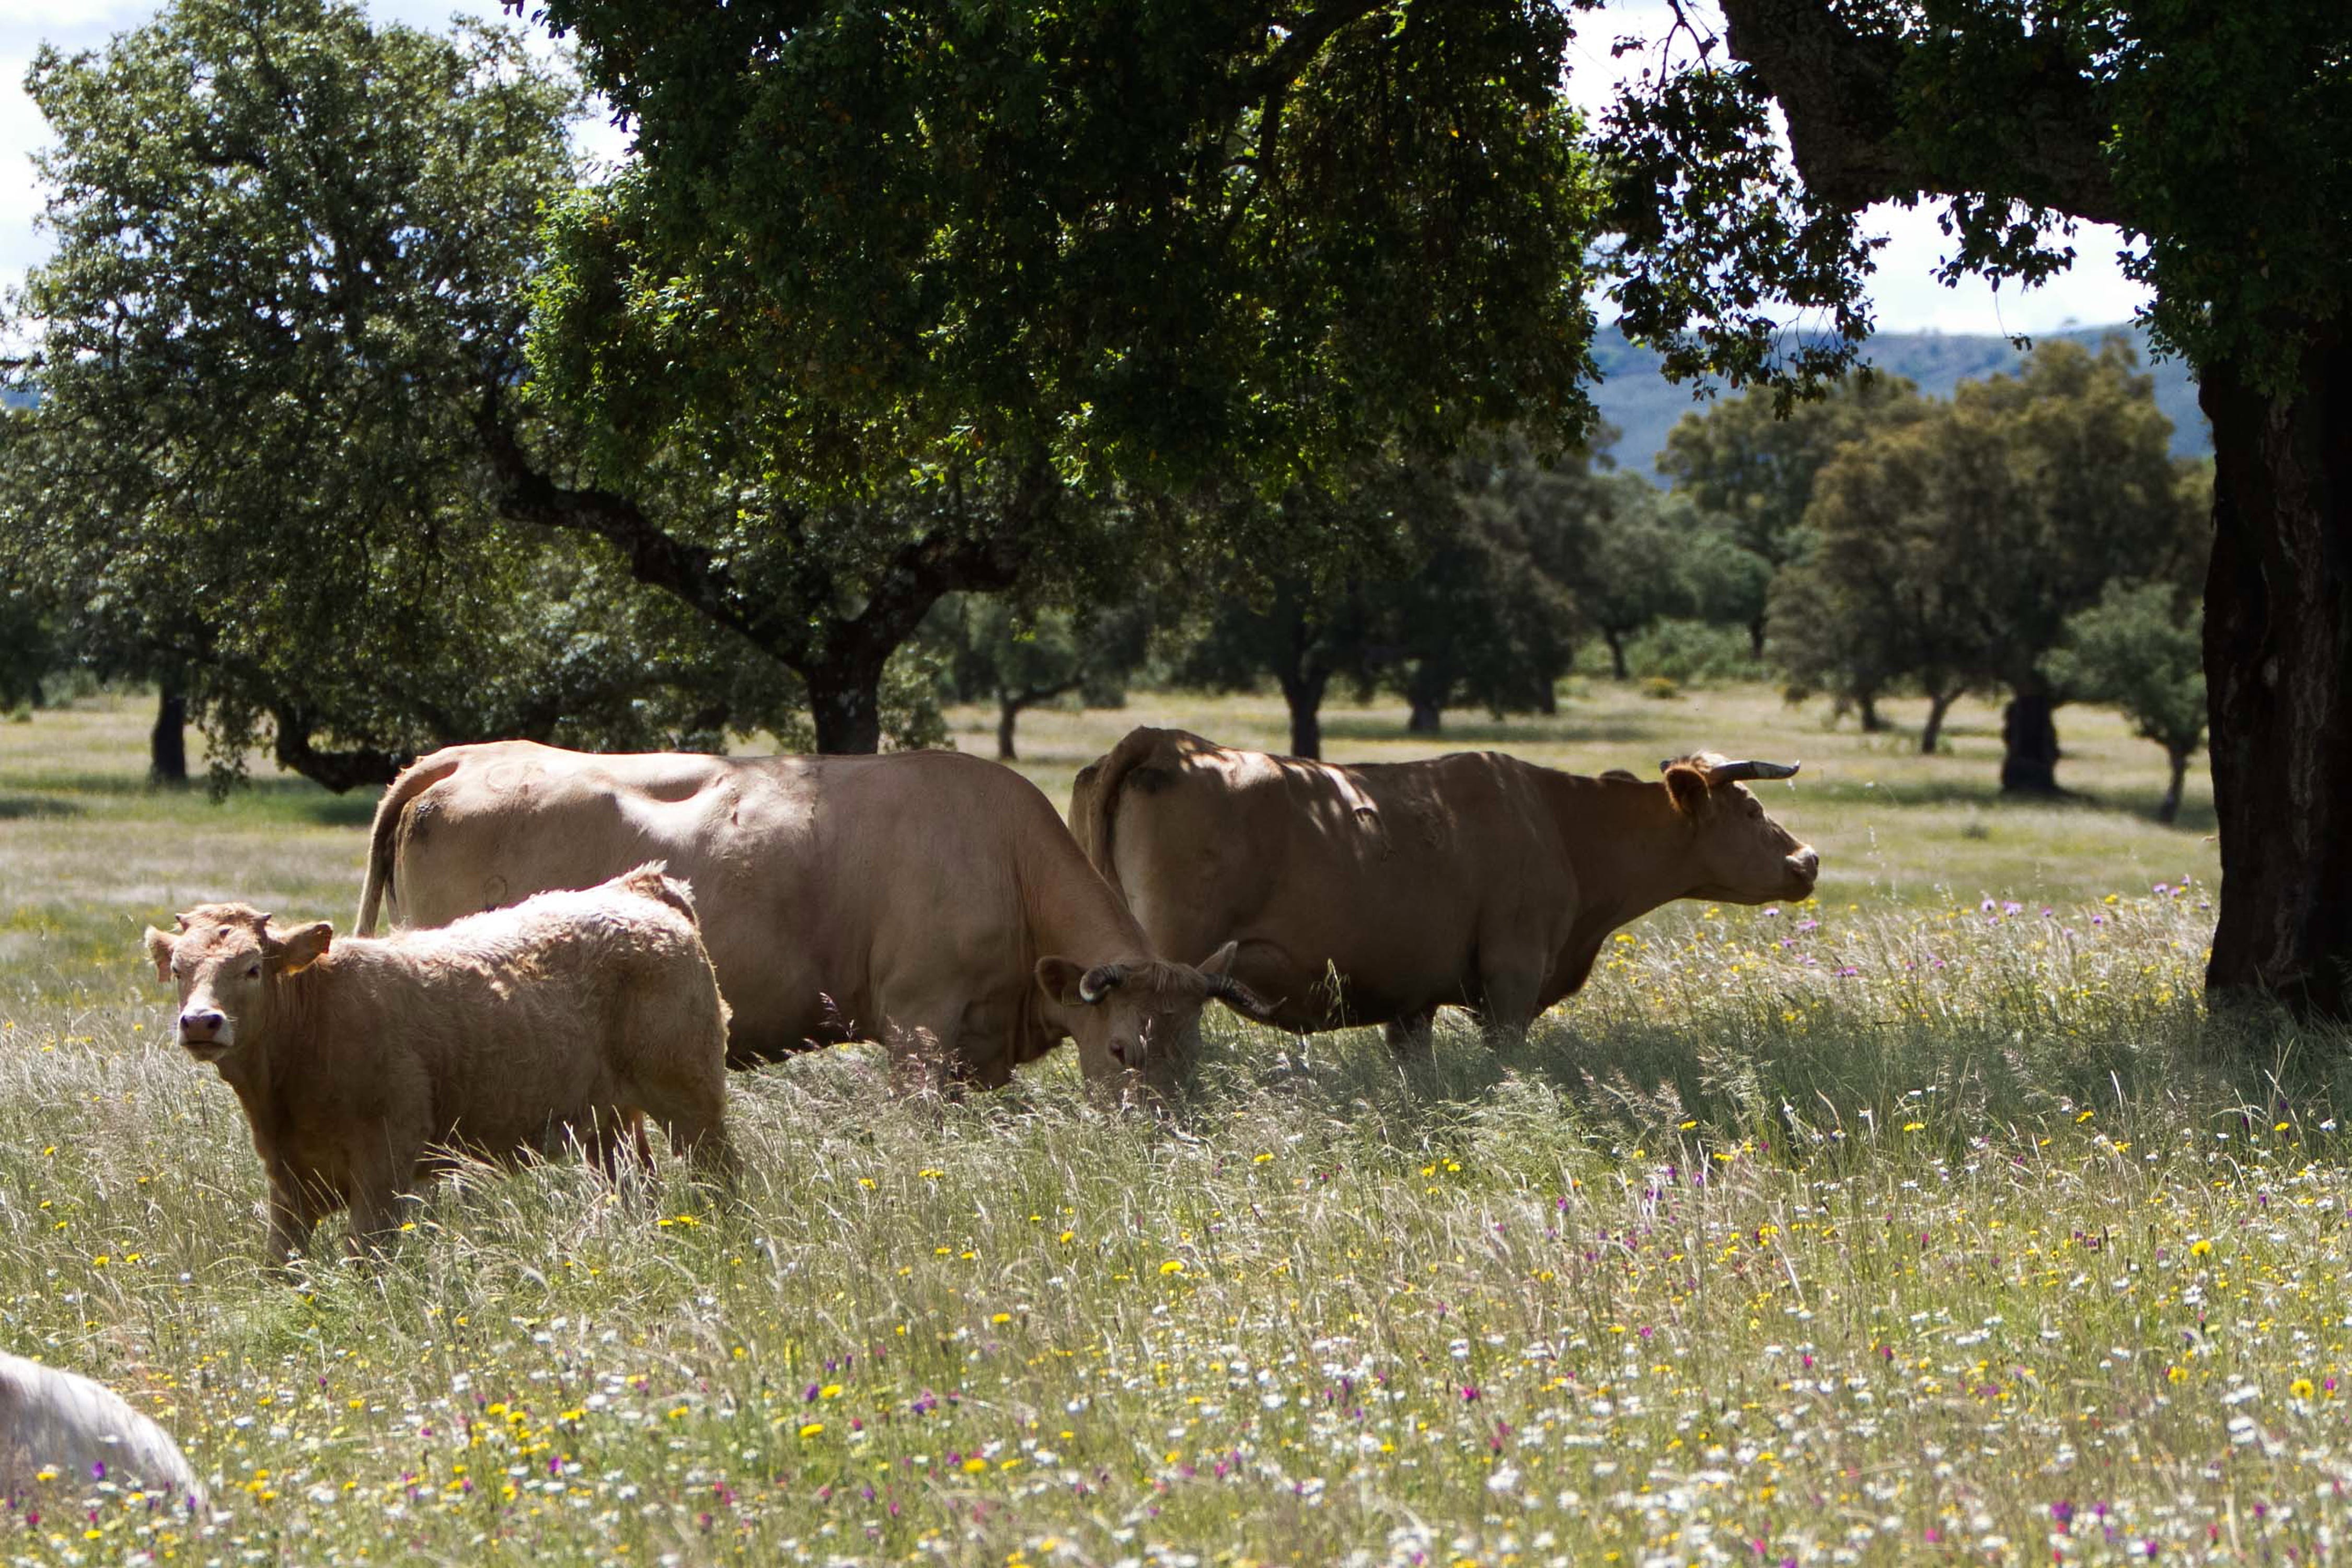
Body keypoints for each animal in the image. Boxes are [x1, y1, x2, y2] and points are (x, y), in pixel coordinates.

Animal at [146, 864, 737, 1266]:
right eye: (178, 969)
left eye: (251, 968)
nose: (201, 1022)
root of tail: (636, 889)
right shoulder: (287, 1180)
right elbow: (280, 1266)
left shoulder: (384, 1166)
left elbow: (366, 1256)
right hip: (607, 1122)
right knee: (635, 1187)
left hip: (692, 1101)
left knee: (719, 1174)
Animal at [1070, 728, 1820, 1050]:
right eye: (1750, 808)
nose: (1808, 860)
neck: (1558, 823)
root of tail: (1165, 741)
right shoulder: (1511, 980)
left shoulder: (1411, 999)